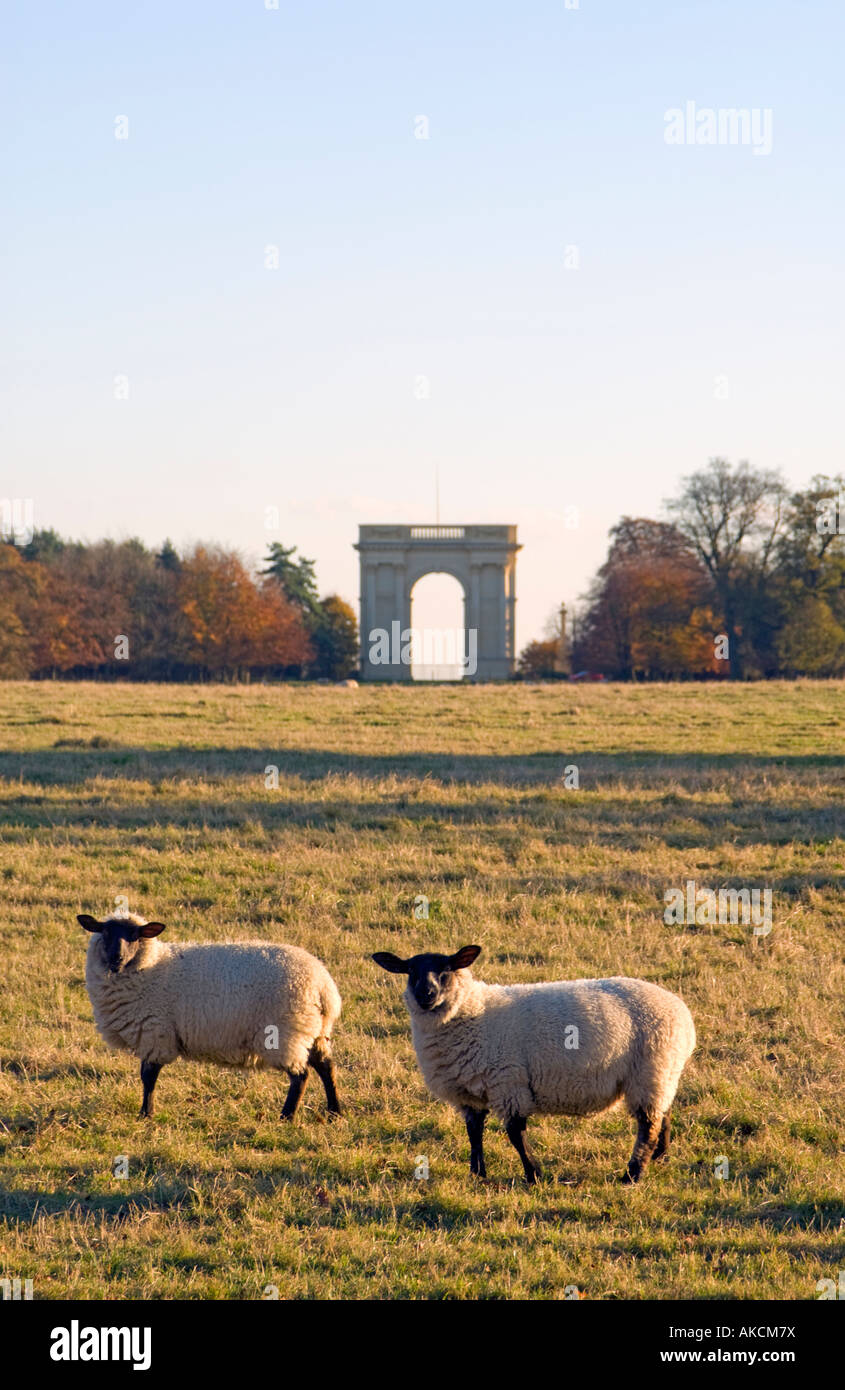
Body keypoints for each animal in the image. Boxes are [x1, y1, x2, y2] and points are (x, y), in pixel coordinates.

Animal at [79, 911, 343, 1128]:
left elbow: (148, 1077)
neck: (151, 967)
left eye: (135, 936)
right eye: (105, 932)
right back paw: (334, 1112)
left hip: (285, 1033)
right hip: (314, 1031)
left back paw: (287, 1116)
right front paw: (146, 1113)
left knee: (301, 1076)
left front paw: (146, 1114)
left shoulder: (155, 1032)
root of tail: (324, 987)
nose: (116, 958)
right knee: (326, 1067)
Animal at [372, 945, 697, 1184]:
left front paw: (534, 1174)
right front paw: (477, 1174)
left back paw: (633, 1173)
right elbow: (474, 1132)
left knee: (648, 1125)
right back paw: (660, 1156)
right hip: (660, 1073)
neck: (471, 1014)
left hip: (650, 1068)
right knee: (663, 1113)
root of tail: (681, 1012)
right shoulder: (469, 1093)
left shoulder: (508, 1082)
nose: (425, 995)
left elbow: (516, 1133)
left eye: (446, 971)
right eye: (411, 972)